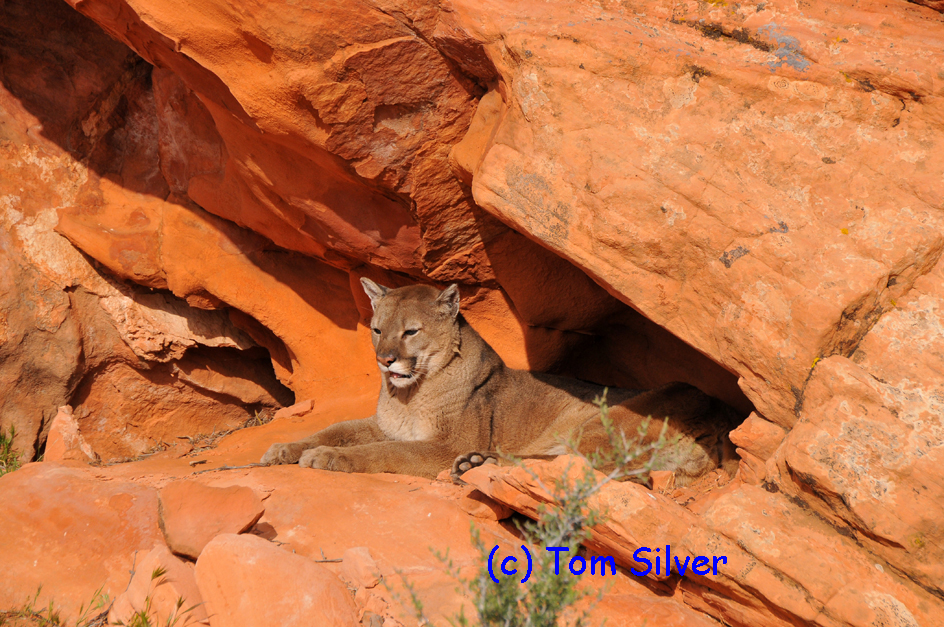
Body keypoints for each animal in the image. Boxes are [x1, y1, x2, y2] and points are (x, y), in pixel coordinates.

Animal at [262, 280, 740, 486]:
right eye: (378, 330)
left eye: (411, 332)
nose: (384, 361)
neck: (410, 392)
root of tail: (721, 418)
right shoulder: (385, 424)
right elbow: (336, 429)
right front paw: (285, 449)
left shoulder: (444, 444)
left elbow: (384, 452)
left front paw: (328, 458)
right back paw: (476, 464)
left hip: (614, 414)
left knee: (600, 472)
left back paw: (474, 464)